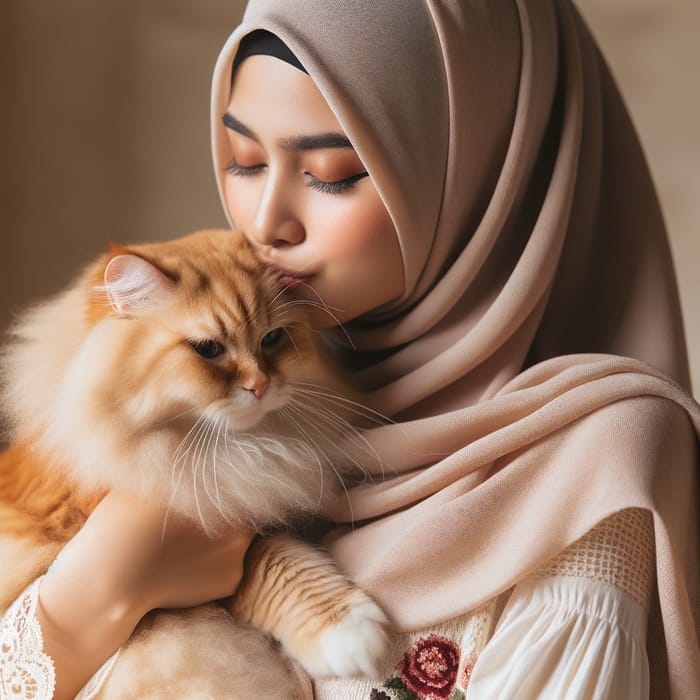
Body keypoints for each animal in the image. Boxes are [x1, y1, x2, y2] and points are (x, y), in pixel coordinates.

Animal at [0, 228, 388, 696]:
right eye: (208, 349)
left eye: (272, 339)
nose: (261, 385)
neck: (235, 453)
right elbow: (272, 561)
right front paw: (349, 633)